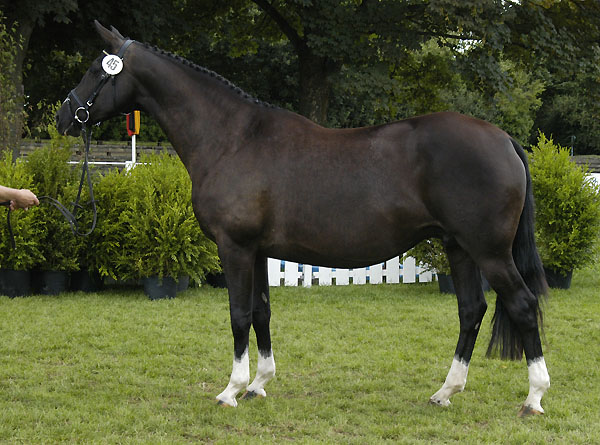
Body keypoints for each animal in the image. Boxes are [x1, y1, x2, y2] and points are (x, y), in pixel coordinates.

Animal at [56, 22, 548, 414]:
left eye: (98, 69)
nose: (64, 116)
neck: (233, 139)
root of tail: (504, 139)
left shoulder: (234, 247)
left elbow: (238, 314)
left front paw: (231, 390)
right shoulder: (257, 251)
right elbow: (261, 312)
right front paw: (258, 384)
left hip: (489, 252)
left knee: (523, 306)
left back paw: (534, 398)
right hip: (458, 247)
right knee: (471, 310)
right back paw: (445, 392)